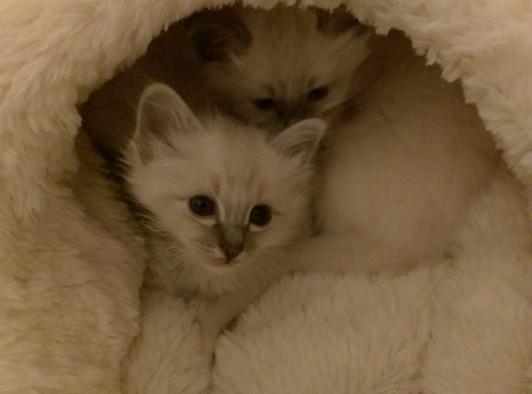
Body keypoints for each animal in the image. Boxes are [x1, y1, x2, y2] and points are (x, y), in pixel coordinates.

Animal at [122, 83, 326, 350]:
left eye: (260, 216)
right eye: (201, 206)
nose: (232, 251)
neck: (205, 278)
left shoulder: (257, 277)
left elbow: (213, 317)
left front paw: (204, 347)